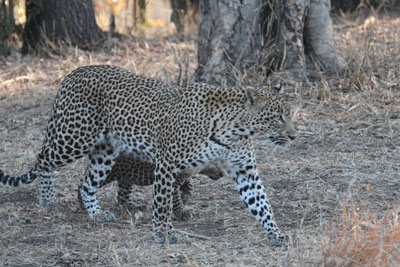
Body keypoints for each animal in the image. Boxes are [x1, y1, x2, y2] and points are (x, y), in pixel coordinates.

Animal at [76, 153, 223, 222]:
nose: (222, 174)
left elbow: (189, 185)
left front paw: (186, 196)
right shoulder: (173, 180)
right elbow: (176, 199)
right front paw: (182, 212)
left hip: (127, 177)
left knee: (122, 196)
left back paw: (134, 206)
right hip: (109, 172)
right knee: (83, 184)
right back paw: (83, 205)